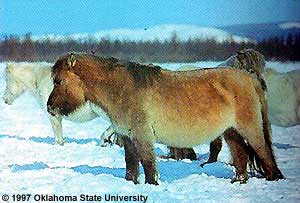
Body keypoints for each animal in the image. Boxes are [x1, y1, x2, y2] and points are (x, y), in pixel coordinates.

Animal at [47, 53, 284, 185]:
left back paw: (274, 178)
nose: (49, 107)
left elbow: (148, 163)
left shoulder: (143, 135)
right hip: (230, 131)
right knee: (240, 153)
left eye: (58, 81)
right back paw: (239, 180)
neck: (122, 89)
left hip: (249, 128)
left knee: (263, 151)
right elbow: (131, 164)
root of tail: (249, 79)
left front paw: (152, 184)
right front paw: (131, 184)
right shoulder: (128, 137)